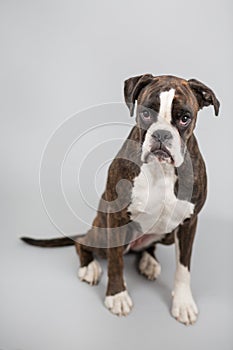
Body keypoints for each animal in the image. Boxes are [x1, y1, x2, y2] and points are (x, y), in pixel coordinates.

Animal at [20, 74, 219, 326]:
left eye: (185, 118)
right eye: (145, 113)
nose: (162, 134)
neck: (161, 169)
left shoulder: (188, 223)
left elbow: (184, 267)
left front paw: (183, 303)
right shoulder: (116, 218)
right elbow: (116, 262)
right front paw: (117, 295)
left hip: (167, 235)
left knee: (149, 246)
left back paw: (148, 262)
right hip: (102, 231)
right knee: (82, 243)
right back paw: (90, 268)